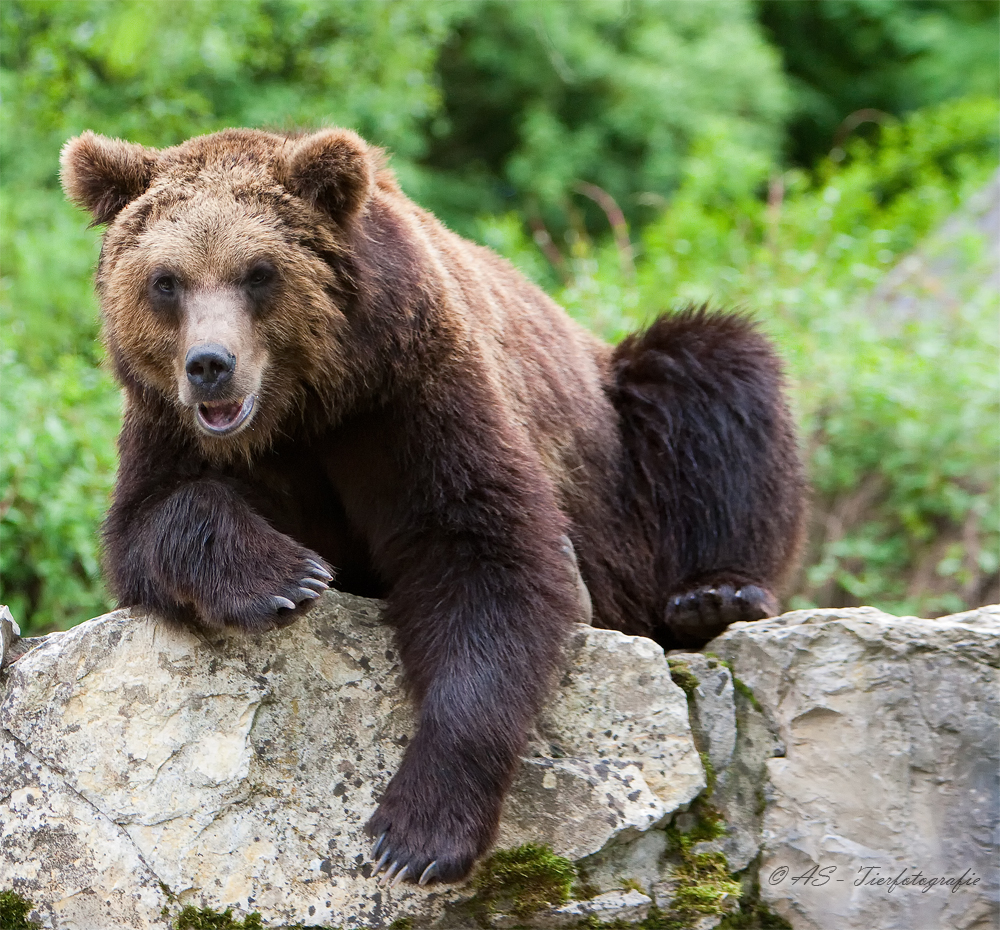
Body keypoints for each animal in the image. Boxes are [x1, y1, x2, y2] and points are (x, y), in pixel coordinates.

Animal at [58, 125, 804, 884]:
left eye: (258, 272)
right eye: (166, 281)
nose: (211, 364)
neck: (306, 405)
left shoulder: (410, 392)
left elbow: (483, 551)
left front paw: (418, 833)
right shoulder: (177, 428)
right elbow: (152, 522)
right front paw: (283, 576)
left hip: (619, 452)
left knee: (710, 374)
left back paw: (715, 594)